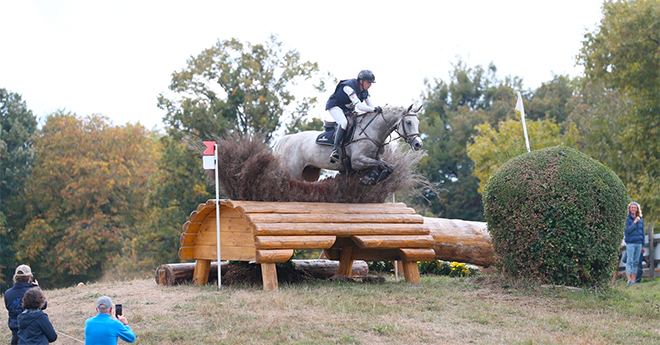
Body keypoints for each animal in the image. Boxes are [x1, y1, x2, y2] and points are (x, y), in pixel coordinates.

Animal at [274, 104, 422, 184]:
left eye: (418, 122)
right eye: (408, 122)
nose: (418, 144)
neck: (372, 131)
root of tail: (290, 138)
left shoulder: (371, 160)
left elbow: (387, 166)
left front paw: (371, 179)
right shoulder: (357, 161)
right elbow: (381, 165)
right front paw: (370, 179)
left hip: (310, 173)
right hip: (293, 171)